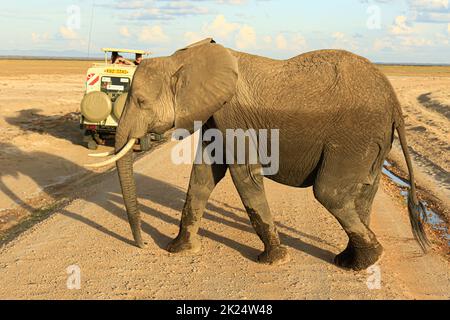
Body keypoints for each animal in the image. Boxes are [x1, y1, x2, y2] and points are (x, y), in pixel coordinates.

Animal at [87, 38, 428, 272]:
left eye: (141, 101)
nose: (142, 244)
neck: (181, 59)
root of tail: (395, 102)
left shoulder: (232, 114)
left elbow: (243, 175)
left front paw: (273, 260)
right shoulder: (214, 114)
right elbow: (203, 176)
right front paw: (178, 250)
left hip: (354, 135)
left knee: (329, 192)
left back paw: (367, 260)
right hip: (372, 141)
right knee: (363, 193)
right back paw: (350, 261)